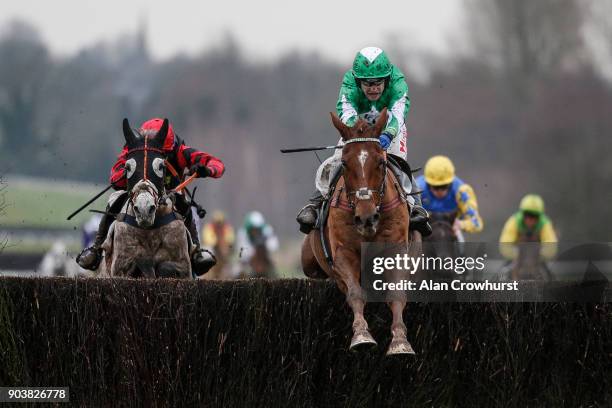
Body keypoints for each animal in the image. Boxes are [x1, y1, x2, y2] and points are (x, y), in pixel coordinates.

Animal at [101, 118, 191, 278]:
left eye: (161, 166)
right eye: (127, 167)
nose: (144, 209)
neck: (149, 231)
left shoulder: (184, 266)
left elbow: (165, 267)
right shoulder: (119, 268)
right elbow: (137, 264)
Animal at [302, 109, 420, 356]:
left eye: (382, 162)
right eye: (344, 163)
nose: (366, 218)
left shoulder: (396, 252)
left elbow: (396, 294)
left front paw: (400, 341)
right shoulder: (343, 253)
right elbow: (355, 293)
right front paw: (362, 336)